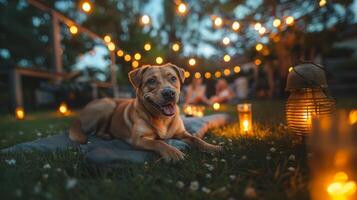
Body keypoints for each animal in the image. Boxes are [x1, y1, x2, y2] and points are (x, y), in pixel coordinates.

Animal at [68, 63, 221, 162]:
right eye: (151, 81)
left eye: (173, 78)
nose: (169, 93)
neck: (162, 118)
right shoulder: (138, 139)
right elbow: (159, 143)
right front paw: (173, 152)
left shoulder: (182, 134)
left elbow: (196, 139)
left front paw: (212, 147)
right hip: (108, 105)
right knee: (97, 131)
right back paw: (106, 135)